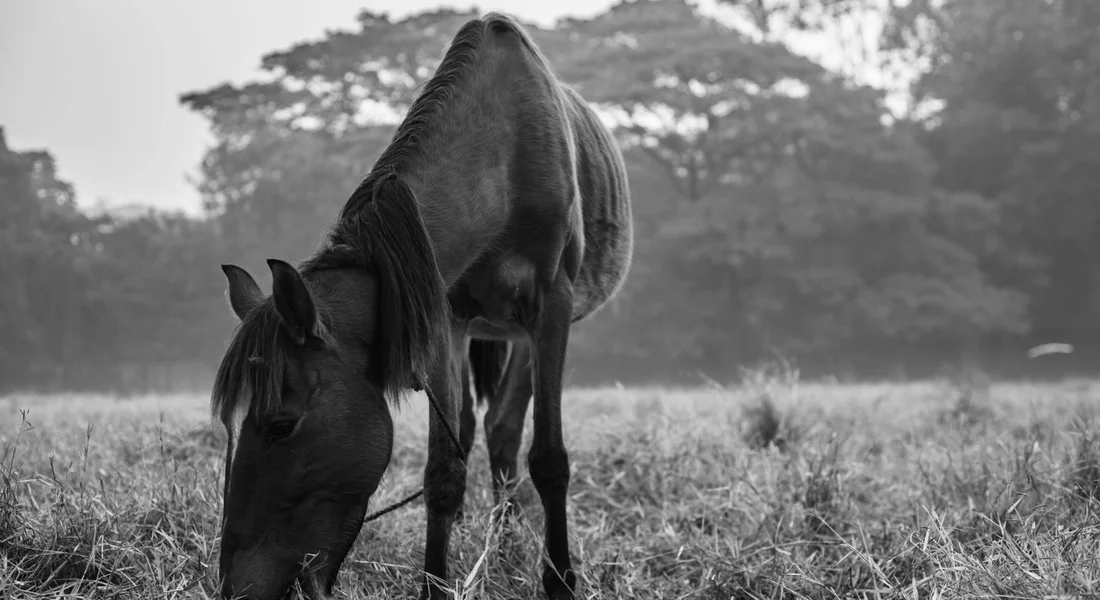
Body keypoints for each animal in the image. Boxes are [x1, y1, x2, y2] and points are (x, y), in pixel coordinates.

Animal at [211, 12, 633, 600]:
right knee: (487, 430)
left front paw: (560, 581)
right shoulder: (442, 312)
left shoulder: (552, 302)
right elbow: (443, 471)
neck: (502, 161)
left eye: (280, 425)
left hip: (532, 325)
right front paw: (436, 581)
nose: (236, 588)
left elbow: (549, 459)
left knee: (507, 430)